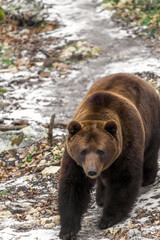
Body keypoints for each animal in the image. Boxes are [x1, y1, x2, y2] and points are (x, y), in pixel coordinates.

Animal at [58, 73, 160, 240]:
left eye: (101, 151)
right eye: (83, 151)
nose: (92, 171)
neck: (96, 114)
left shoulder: (126, 143)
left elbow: (123, 179)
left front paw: (107, 219)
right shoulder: (75, 161)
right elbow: (73, 185)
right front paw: (68, 229)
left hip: (151, 122)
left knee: (150, 153)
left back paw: (147, 178)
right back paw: (100, 197)